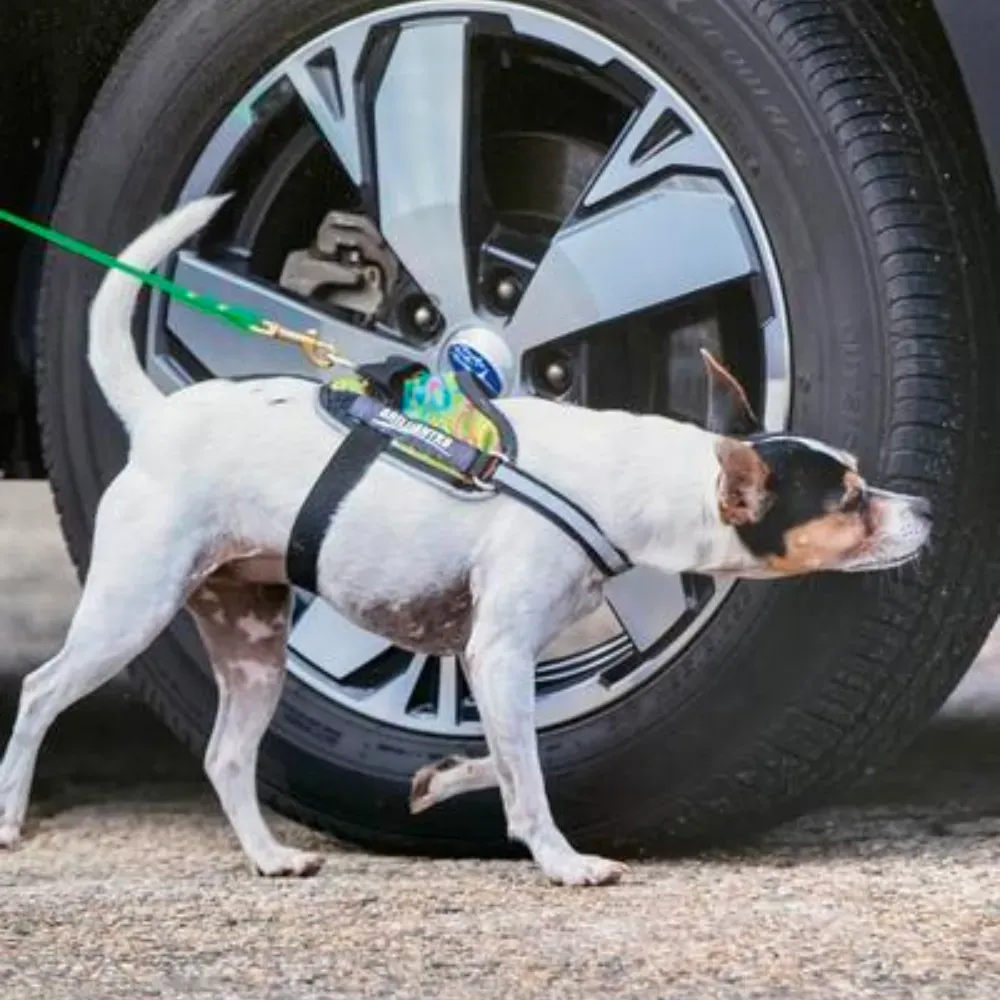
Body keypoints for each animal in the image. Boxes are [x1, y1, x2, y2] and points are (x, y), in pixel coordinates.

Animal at [0, 197, 928, 884]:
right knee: (41, 693)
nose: (922, 507)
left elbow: (505, 759)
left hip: (253, 638)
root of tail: (158, 417)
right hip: (130, 609)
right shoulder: (499, 652)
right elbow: (531, 776)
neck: (623, 476)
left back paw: (269, 857)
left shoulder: (493, 660)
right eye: (850, 500)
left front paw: (446, 779)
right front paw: (563, 861)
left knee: (227, 756)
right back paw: (12, 819)